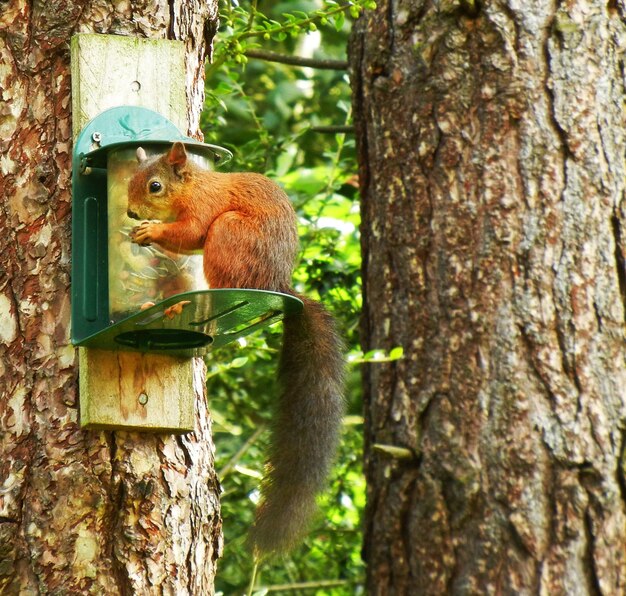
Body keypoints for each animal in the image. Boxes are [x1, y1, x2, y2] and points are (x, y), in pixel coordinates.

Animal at [124, 142, 344, 556]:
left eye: (155, 186)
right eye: (130, 180)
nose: (130, 212)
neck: (191, 186)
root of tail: (275, 285)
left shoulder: (205, 206)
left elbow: (190, 232)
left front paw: (151, 230)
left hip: (230, 233)